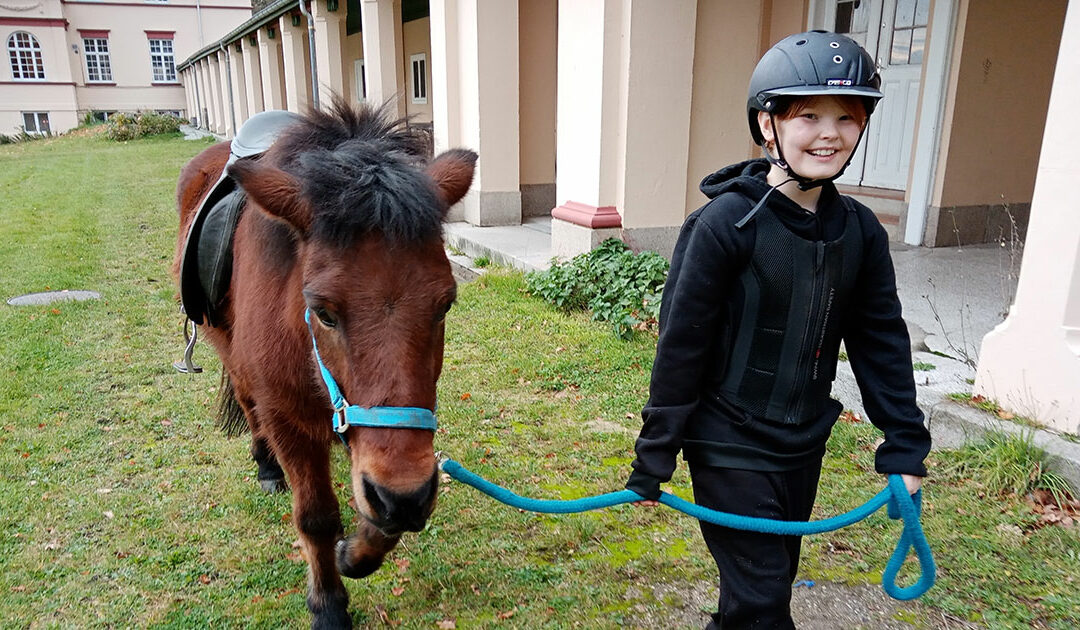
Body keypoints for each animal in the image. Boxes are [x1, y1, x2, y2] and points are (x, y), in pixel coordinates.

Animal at [173, 101, 477, 626]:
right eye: (324, 311)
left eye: (445, 304)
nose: (407, 496)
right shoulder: (287, 417)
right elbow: (316, 517)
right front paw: (329, 605)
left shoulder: (381, 454)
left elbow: (378, 508)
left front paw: (355, 553)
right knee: (248, 404)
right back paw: (266, 466)